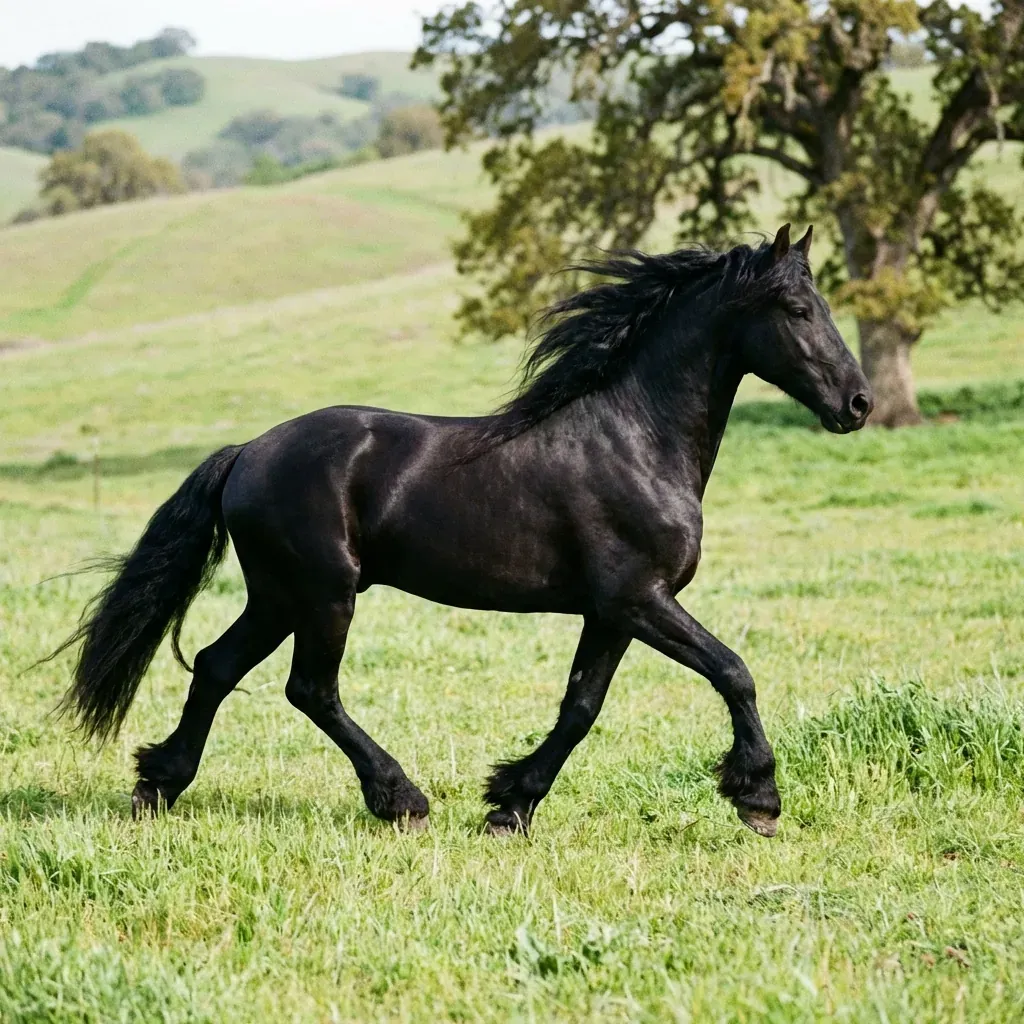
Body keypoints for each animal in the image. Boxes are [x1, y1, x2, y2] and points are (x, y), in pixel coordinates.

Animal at [52, 223, 872, 838]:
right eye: (796, 307)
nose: (858, 404)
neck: (636, 439)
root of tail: (247, 452)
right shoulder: (640, 599)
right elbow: (733, 670)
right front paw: (758, 799)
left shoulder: (610, 613)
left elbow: (580, 709)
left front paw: (510, 804)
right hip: (323, 594)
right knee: (309, 689)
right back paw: (400, 801)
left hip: (279, 595)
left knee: (218, 667)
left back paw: (158, 786)